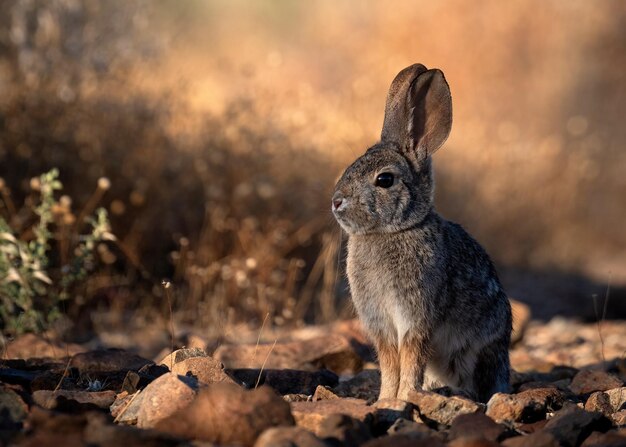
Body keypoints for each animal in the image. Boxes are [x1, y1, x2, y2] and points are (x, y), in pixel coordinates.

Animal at [330, 64, 510, 406]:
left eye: (385, 180)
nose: (336, 202)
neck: (391, 231)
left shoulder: (416, 319)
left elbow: (410, 359)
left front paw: (403, 398)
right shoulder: (381, 325)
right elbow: (389, 363)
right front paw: (385, 400)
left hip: (478, 354)